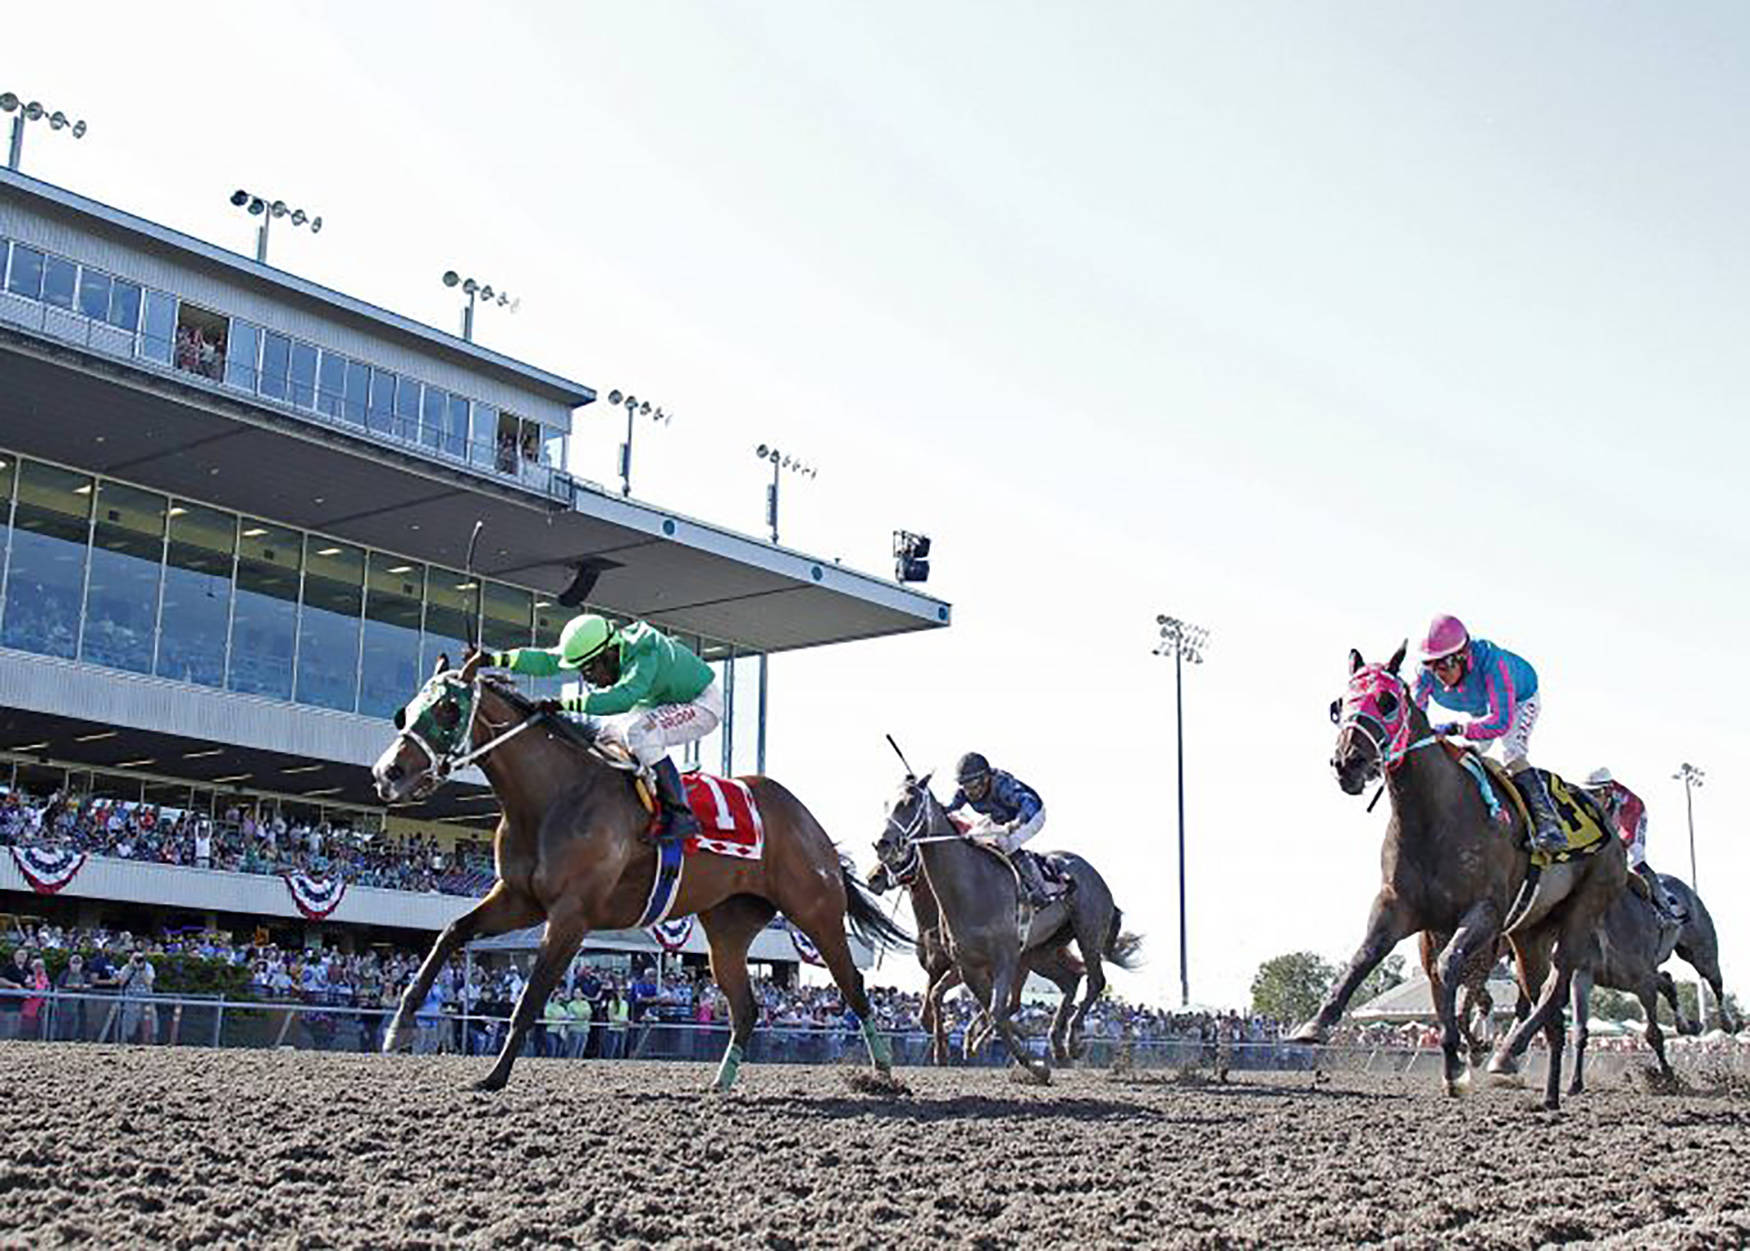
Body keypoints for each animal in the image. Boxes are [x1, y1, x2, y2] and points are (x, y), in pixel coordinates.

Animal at [374, 650, 910, 1091]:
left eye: (447, 710)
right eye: (409, 709)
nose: (386, 774)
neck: (554, 795)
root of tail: (808, 822)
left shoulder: (571, 915)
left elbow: (530, 999)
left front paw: (494, 1077)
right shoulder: (518, 898)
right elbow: (451, 931)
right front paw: (400, 1024)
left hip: (816, 914)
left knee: (853, 986)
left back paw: (883, 1073)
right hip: (728, 930)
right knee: (746, 1007)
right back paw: (721, 1083)